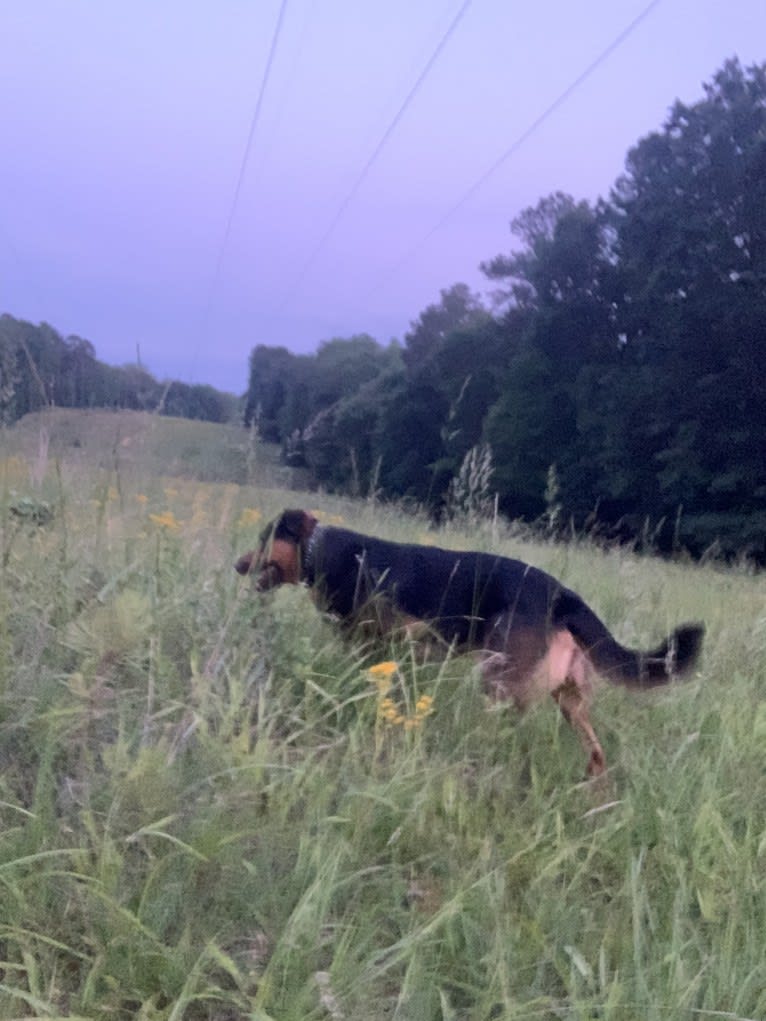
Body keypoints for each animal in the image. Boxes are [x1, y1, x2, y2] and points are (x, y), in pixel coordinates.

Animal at [235, 506, 706, 775]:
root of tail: (562, 594)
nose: (238, 565)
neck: (318, 551)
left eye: (263, 539)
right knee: (596, 755)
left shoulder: (371, 643)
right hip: (569, 698)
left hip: (498, 680)